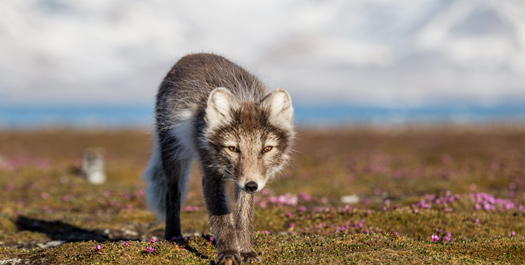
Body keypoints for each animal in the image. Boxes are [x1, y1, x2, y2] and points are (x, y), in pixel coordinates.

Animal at [142, 52, 294, 262]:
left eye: (267, 149)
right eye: (233, 148)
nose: (252, 186)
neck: (243, 96)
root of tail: (192, 55)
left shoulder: (246, 180)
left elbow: (244, 218)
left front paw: (246, 250)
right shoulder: (212, 174)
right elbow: (222, 217)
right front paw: (229, 253)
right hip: (172, 152)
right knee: (172, 192)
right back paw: (173, 235)